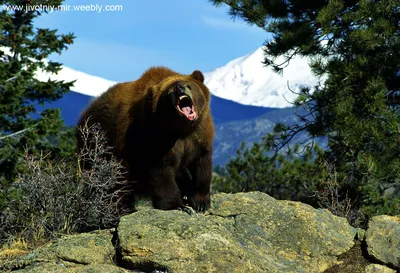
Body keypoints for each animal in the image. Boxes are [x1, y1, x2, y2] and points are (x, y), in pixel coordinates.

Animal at [75, 66, 212, 212]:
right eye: (169, 92)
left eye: (188, 85)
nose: (179, 89)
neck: (181, 129)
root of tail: (84, 114)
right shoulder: (152, 137)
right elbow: (161, 171)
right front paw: (177, 205)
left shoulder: (200, 135)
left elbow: (201, 165)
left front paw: (200, 202)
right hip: (101, 145)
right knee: (115, 184)